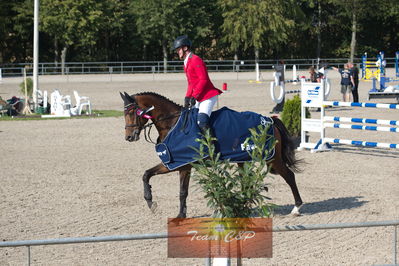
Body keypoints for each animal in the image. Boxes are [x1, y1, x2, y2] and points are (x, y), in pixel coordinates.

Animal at [119, 92, 304, 217]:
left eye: (131, 113)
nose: (129, 137)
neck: (172, 123)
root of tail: (270, 120)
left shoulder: (183, 165)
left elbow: (182, 192)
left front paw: (179, 215)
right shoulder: (174, 164)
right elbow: (147, 174)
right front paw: (151, 201)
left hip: (273, 159)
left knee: (289, 176)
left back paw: (296, 208)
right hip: (243, 160)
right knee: (246, 183)